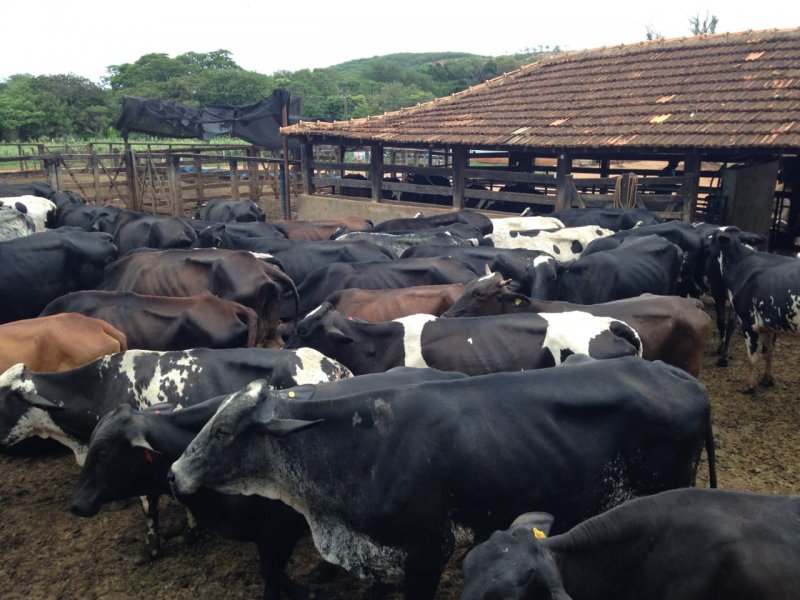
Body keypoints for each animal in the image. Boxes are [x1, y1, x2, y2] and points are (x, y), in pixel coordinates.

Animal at [715, 230, 800, 391]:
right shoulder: (768, 325)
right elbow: (768, 353)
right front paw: (767, 380)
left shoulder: (748, 322)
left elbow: (752, 357)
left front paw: (749, 386)